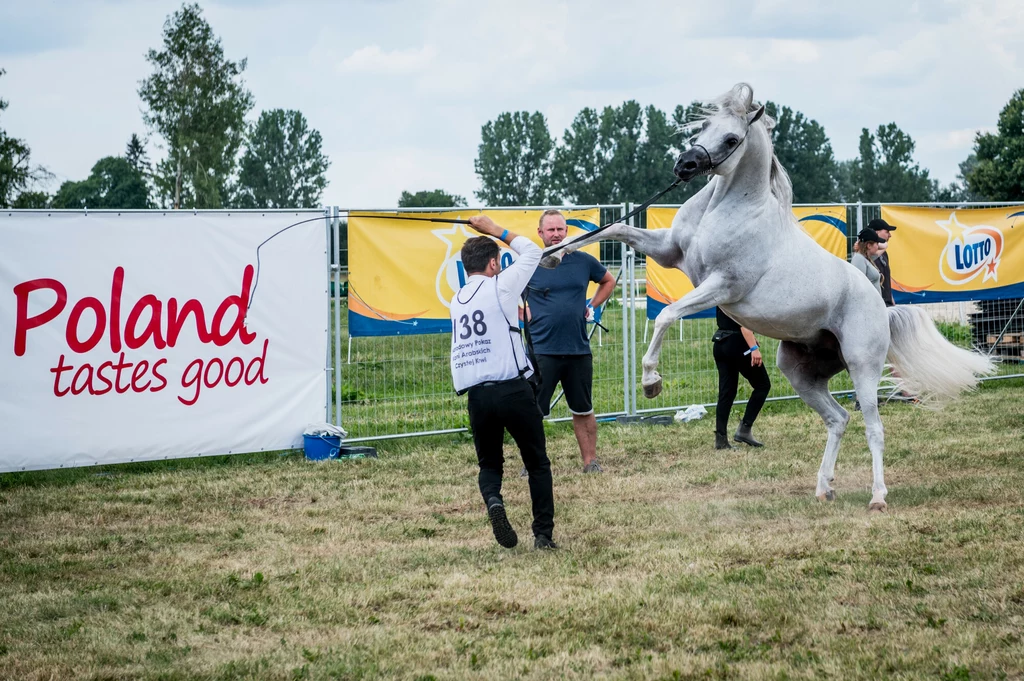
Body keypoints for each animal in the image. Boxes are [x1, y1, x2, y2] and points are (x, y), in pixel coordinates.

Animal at [548, 83, 995, 509]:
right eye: (702, 127)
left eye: (731, 138)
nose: (684, 166)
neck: (726, 209)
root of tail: (880, 309)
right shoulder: (667, 251)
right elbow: (614, 230)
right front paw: (557, 254)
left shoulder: (721, 284)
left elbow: (667, 315)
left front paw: (651, 382)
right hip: (800, 372)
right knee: (837, 420)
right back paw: (824, 489)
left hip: (863, 367)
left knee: (874, 428)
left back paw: (877, 497)